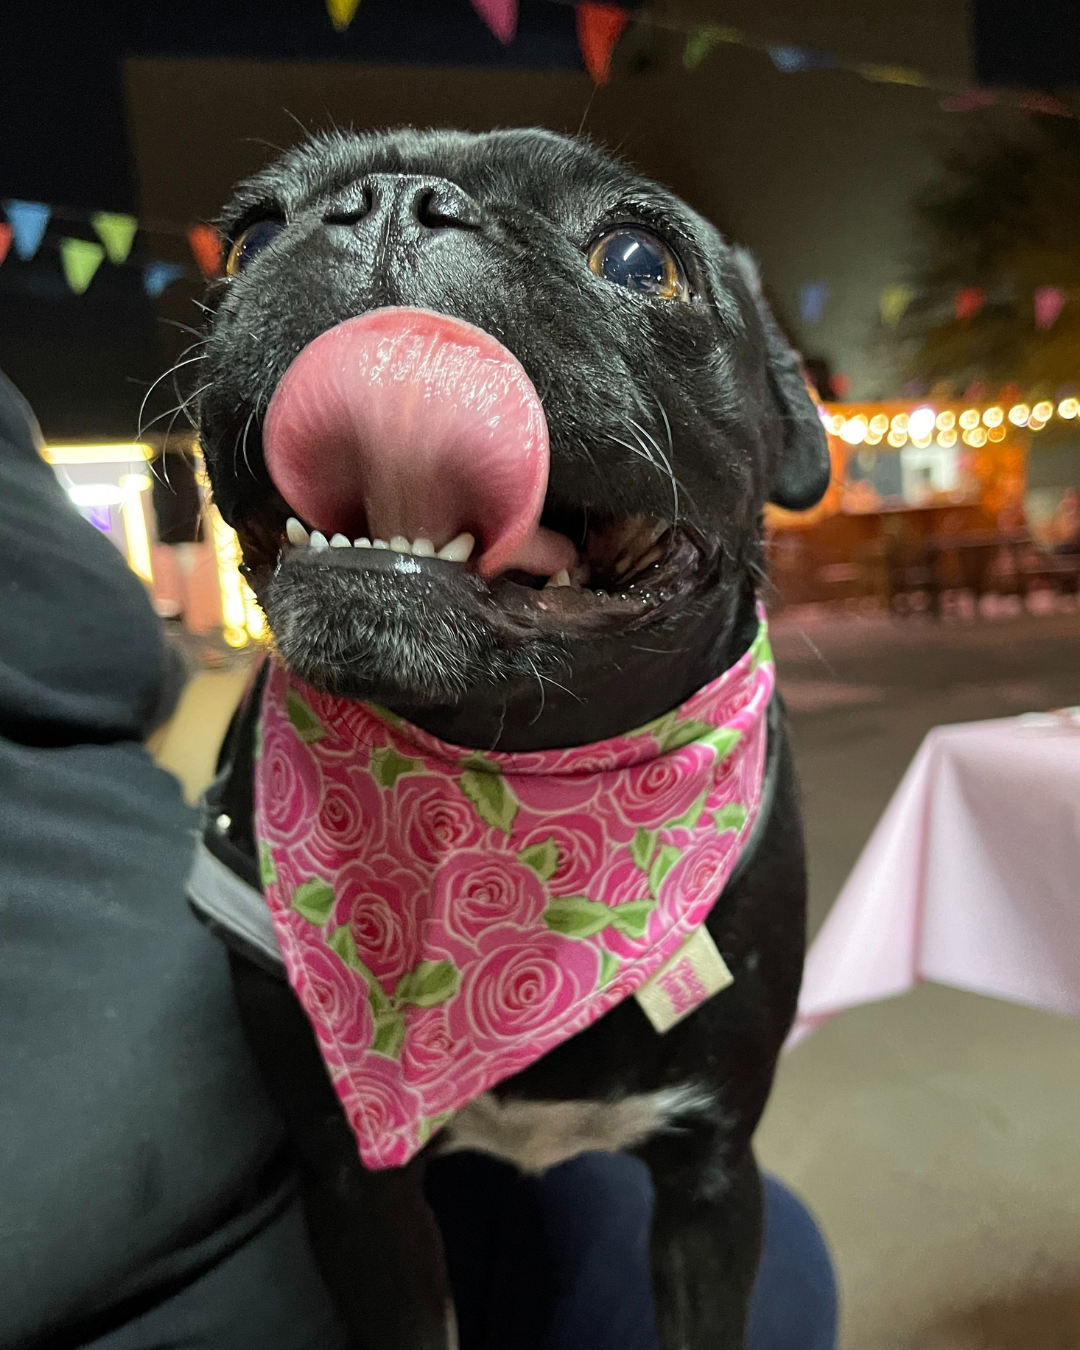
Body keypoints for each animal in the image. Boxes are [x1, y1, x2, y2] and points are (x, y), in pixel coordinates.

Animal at [190, 128, 826, 1350]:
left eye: (640, 257)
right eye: (248, 236)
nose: (392, 200)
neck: (512, 779)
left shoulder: (714, 1179)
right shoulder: (359, 1194)